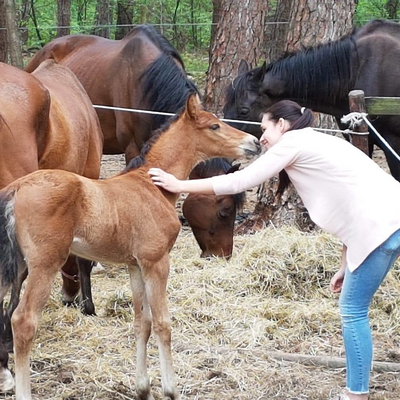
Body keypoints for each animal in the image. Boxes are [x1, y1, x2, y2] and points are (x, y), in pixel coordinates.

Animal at [0, 94, 260, 400]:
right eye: (214, 126)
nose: (254, 143)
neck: (151, 185)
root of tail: (16, 188)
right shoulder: (157, 262)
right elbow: (162, 323)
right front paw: (170, 389)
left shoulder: (135, 265)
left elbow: (142, 323)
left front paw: (142, 387)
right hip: (45, 264)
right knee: (23, 321)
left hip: (16, 266)